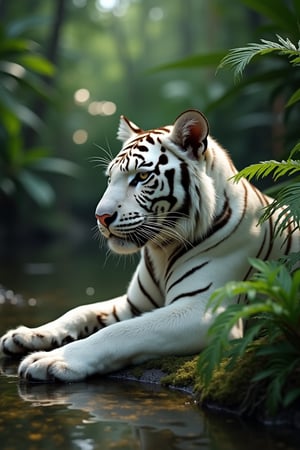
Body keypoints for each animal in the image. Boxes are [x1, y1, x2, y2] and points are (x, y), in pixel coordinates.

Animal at [0, 110, 298, 382]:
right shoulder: (133, 303)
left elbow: (119, 332)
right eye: (110, 178)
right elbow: (79, 310)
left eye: (141, 177)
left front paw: (52, 360)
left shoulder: (204, 310)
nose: (100, 216)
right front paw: (26, 335)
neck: (162, 249)